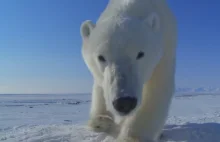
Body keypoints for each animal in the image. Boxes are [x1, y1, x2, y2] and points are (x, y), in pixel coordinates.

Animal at [80, 0, 176, 141]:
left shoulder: (165, 46)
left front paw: (132, 137)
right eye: (101, 57)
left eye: (140, 54)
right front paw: (100, 120)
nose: (124, 102)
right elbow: (100, 84)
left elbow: (156, 87)